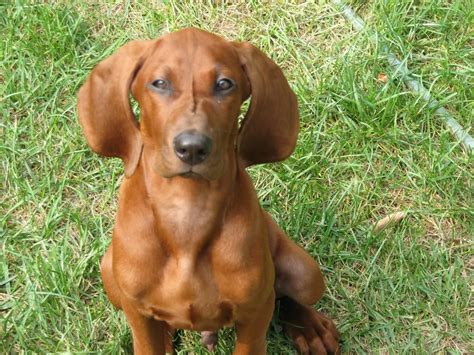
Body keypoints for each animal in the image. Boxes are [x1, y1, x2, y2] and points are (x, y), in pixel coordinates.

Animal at [78, 28, 338, 355]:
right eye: (159, 83)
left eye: (224, 84)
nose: (191, 148)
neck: (187, 210)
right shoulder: (137, 311)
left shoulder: (255, 312)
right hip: (108, 272)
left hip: (306, 274)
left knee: (287, 295)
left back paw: (309, 327)